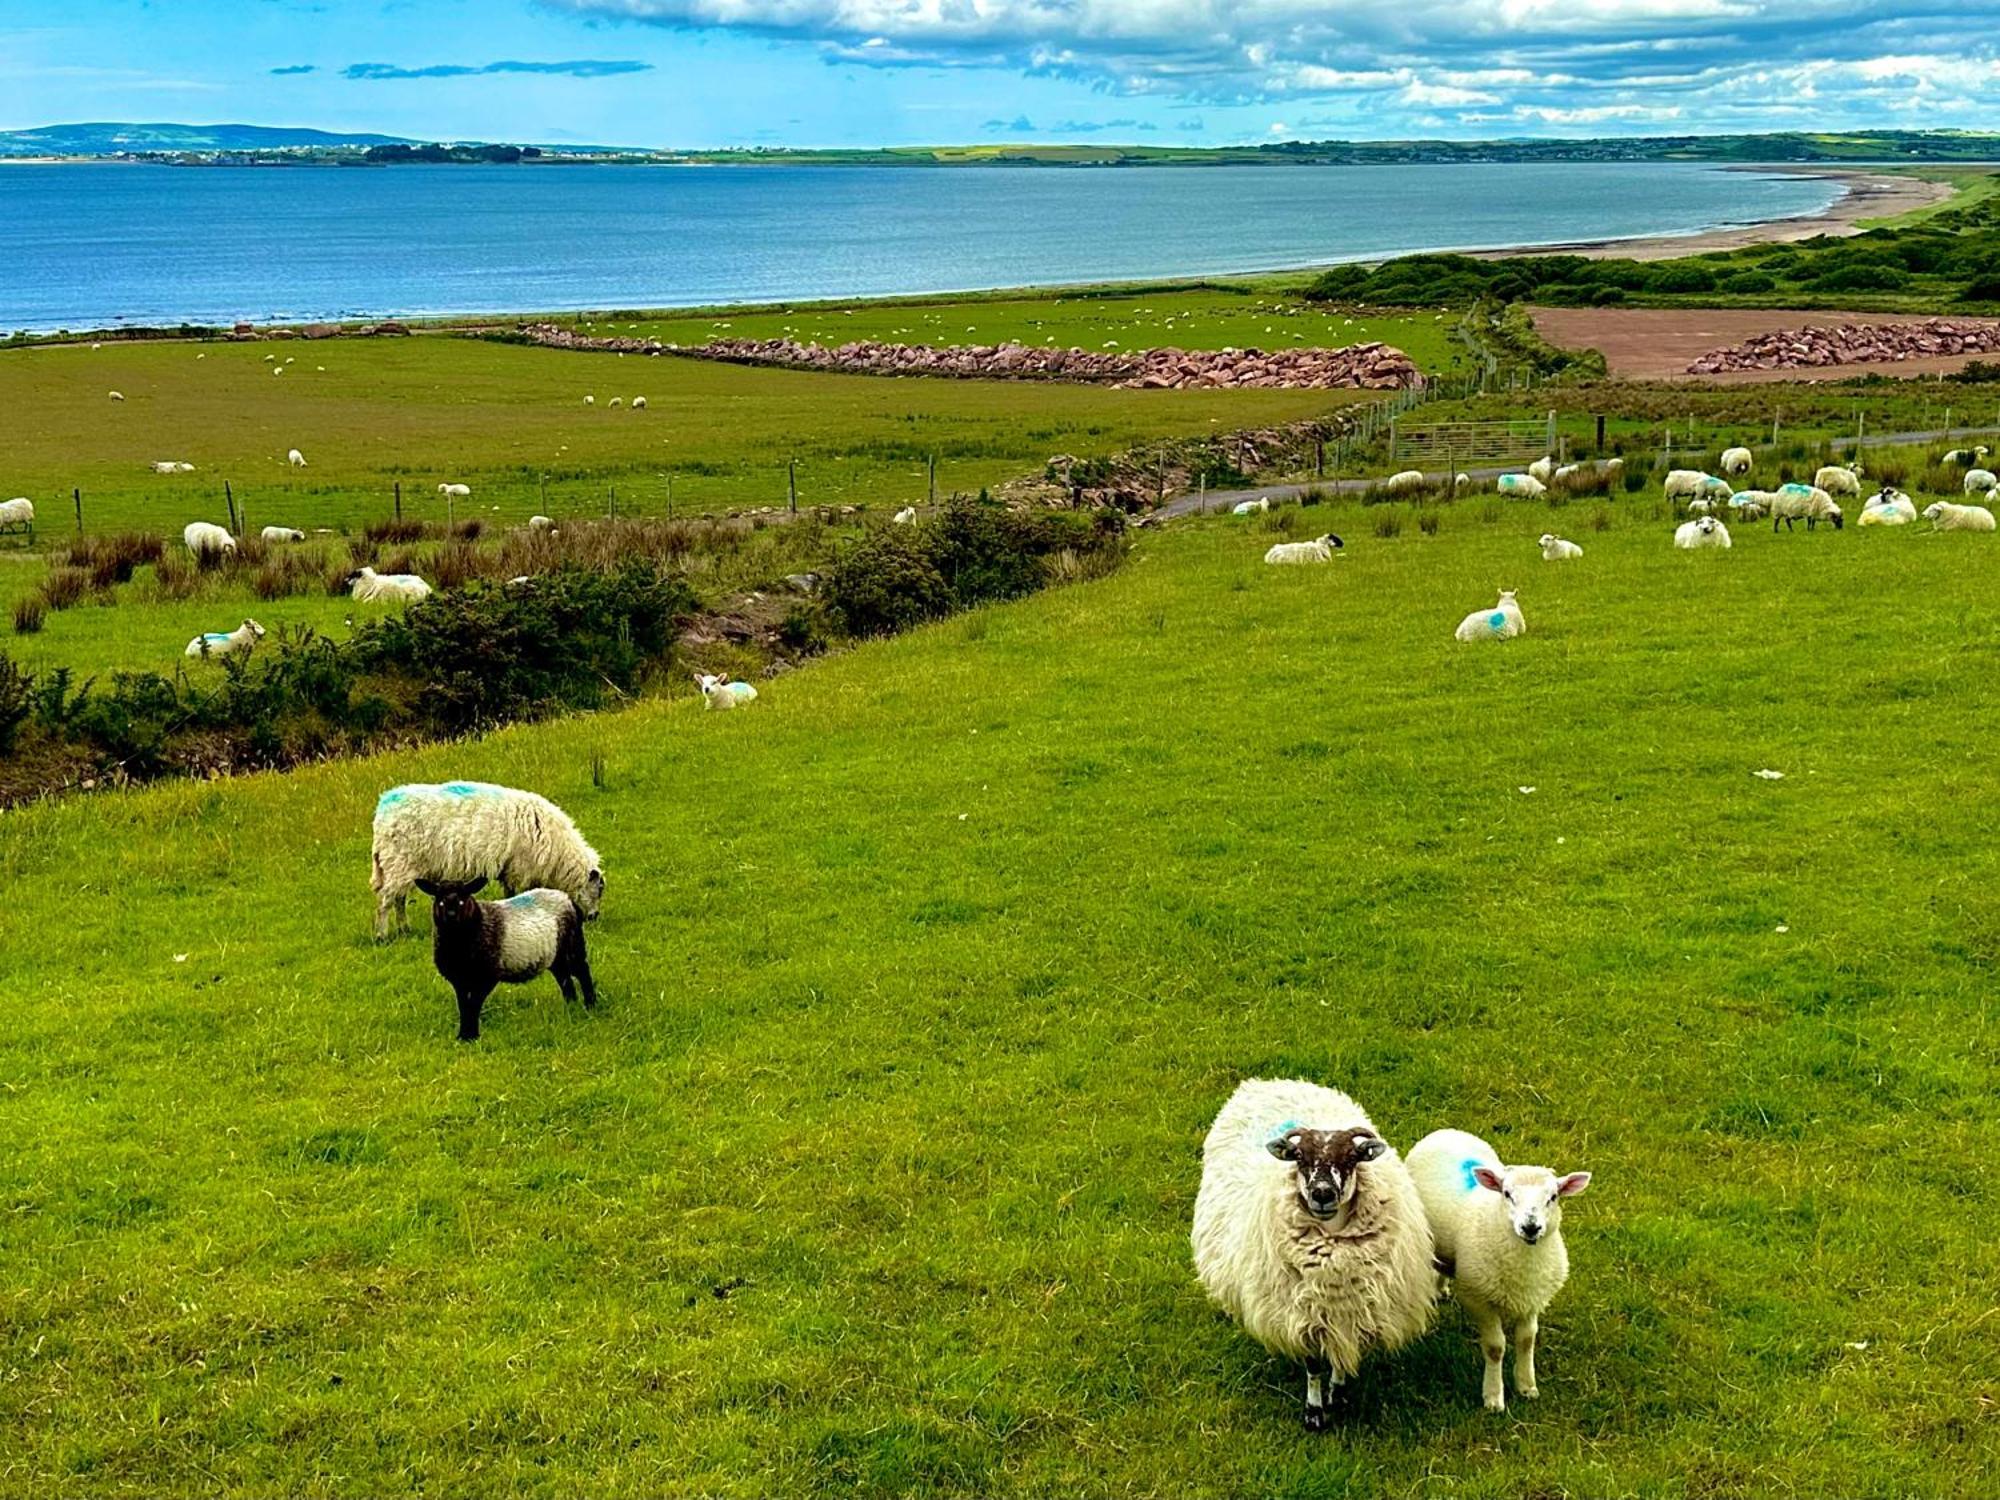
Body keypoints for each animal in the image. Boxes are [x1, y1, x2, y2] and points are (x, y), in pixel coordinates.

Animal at [370, 780, 600, 944]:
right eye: (599, 889)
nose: (594, 917)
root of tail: (383, 810)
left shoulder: (509, 871)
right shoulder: (518, 869)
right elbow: (515, 894)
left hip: (399, 867)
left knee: (398, 899)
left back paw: (404, 929)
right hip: (399, 862)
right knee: (385, 901)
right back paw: (382, 935)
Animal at [408, 880, 588, 1048]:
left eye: (462, 900)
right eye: (440, 901)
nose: (451, 915)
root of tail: (565, 897)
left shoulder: (487, 976)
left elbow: (474, 1004)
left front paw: (471, 1036)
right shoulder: (459, 980)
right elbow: (463, 1005)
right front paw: (463, 1036)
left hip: (573, 945)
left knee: (583, 972)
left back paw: (589, 1006)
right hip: (555, 957)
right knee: (565, 980)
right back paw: (571, 1007)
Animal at [1184, 1080, 1440, 1432]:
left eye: (1352, 1157)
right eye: (1299, 1157)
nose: (1322, 1193)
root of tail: (1268, 1082)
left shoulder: (1352, 1312)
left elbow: (1341, 1359)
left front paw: (1339, 1395)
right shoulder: (1304, 1315)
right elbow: (1314, 1365)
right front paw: (1315, 1413)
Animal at [1408, 1136, 1592, 1416]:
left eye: (1553, 1197)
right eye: (1507, 1194)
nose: (1530, 1227)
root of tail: (1445, 1132)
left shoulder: (1532, 1298)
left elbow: (1527, 1340)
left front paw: (1527, 1386)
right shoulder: (1478, 1299)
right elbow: (1496, 1347)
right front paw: (1494, 1397)